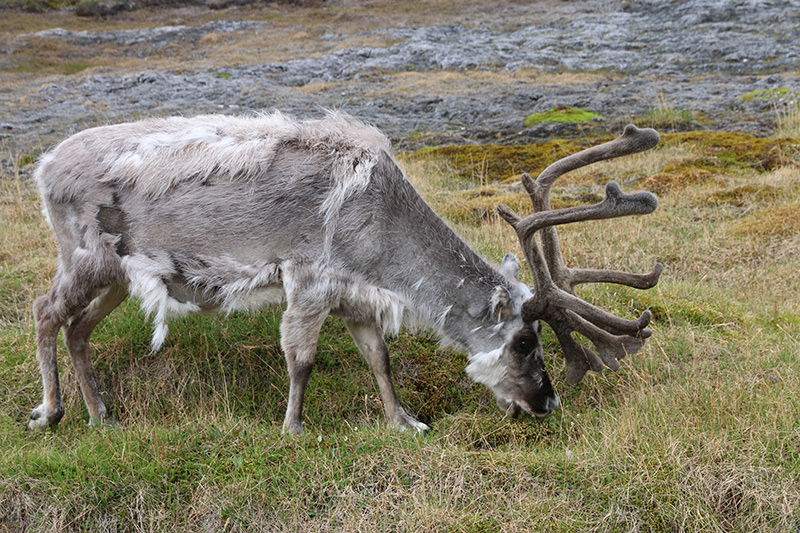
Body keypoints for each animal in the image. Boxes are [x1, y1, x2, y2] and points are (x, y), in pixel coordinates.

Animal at [28, 111, 662, 434]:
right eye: (525, 341)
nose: (546, 403)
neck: (382, 245)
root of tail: (42, 167)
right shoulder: (308, 278)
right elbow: (301, 359)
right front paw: (293, 429)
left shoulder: (356, 293)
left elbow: (379, 359)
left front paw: (406, 422)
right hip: (85, 257)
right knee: (43, 312)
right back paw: (51, 412)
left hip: (116, 276)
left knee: (77, 328)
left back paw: (102, 415)